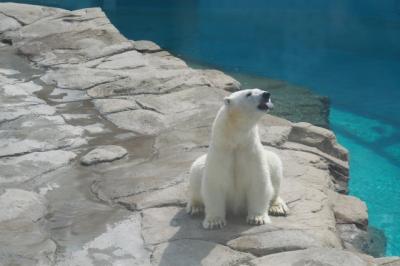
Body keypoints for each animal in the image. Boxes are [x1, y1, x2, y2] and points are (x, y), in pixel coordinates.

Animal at [187, 88, 288, 230]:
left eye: (260, 90)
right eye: (249, 93)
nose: (266, 94)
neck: (235, 141)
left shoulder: (250, 151)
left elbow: (259, 182)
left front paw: (257, 218)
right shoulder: (220, 152)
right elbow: (214, 184)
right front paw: (214, 222)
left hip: (270, 161)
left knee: (275, 164)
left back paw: (278, 207)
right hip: (199, 165)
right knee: (195, 172)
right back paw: (195, 207)